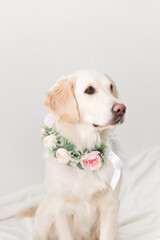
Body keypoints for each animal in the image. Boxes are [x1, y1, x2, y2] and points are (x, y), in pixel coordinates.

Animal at [30, 68, 126, 239]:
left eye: (111, 88)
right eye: (89, 90)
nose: (121, 108)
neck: (85, 152)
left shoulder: (110, 204)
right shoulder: (61, 209)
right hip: (46, 214)